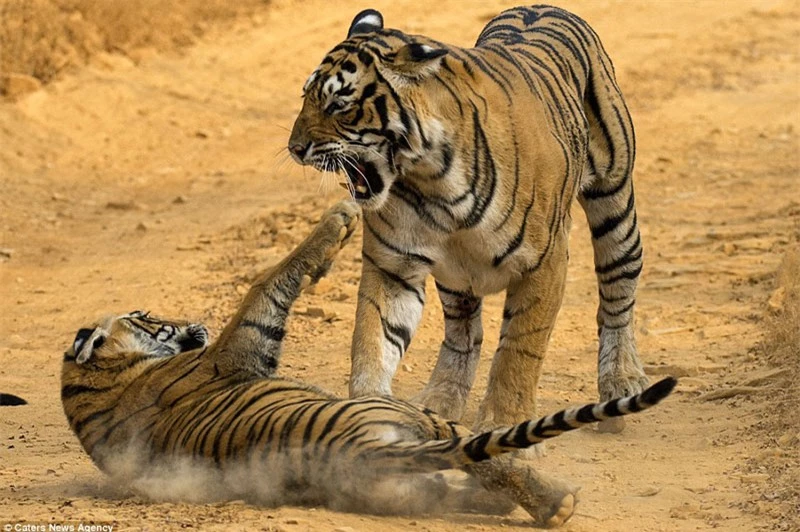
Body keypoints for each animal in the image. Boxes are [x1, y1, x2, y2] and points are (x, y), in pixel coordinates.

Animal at [62, 201, 676, 528]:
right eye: (145, 315)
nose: (190, 322)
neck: (100, 388)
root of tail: (359, 451)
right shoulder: (241, 342)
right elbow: (270, 277)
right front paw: (341, 216)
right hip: (411, 414)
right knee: (493, 459)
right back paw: (557, 501)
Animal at [288, 5, 648, 436]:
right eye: (305, 96)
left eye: (338, 104)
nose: (294, 148)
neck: (432, 177)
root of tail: (540, 6)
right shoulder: (393, 266)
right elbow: (373, 339)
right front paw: (370, 412)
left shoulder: (544, 261)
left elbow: (518, 351)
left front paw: (506, 425)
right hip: (455, 277)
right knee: (463, 331)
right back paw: (440, 397)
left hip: (615, 205)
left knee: (617, 293)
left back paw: (621, 381)